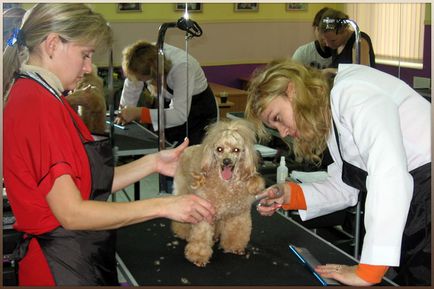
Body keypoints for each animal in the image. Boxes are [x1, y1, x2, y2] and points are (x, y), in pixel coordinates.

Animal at [172, 118, 266, 266]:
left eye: (236, 150)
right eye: (219, 149)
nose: (226, 161)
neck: (226, 185)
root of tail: (187, 149)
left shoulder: (237, 213)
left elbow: (236, 231)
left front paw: (233, 247)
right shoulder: (204, 213)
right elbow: (201, 236)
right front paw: (198, 256)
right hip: (184, 193)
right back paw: (183, 232)